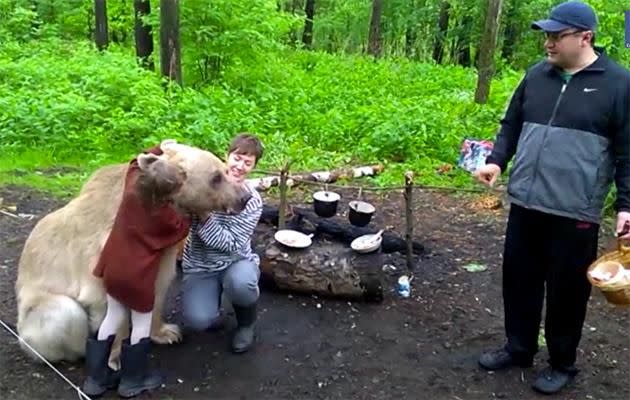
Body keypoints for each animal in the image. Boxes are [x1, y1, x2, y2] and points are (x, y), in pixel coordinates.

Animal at [12, 140, 249, 368]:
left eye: (224, 169)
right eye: (216, 177)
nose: (244, 197)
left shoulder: (161, 252)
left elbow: (158, 286)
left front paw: (167, 332)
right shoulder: (105, 254)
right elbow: (108, 300)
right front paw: (114, 356)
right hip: (34, 315)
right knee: (64, 313)